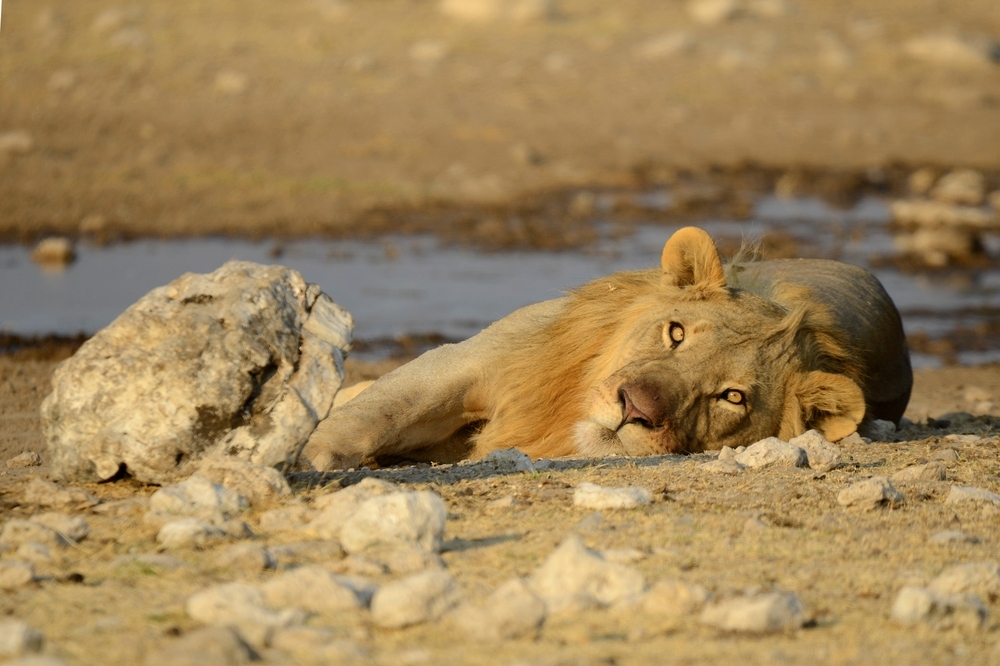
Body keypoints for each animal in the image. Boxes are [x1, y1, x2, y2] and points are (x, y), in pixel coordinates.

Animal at [302, 226, 908, 470]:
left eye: (732, 398)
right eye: (676, 332)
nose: (635, 407)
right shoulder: (473, 363)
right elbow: (381, 410)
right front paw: (312, 450)